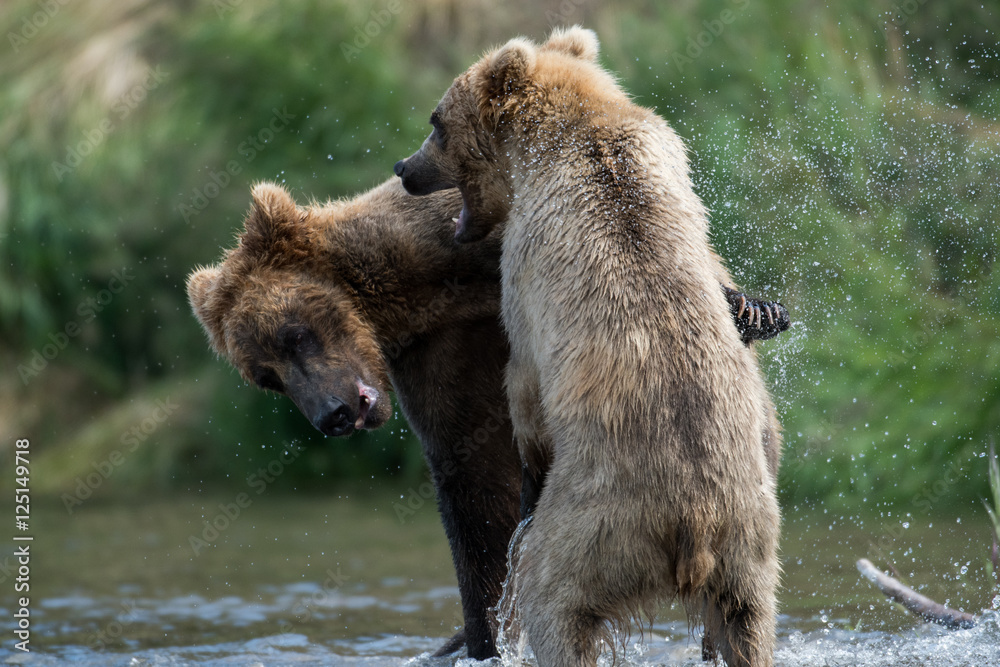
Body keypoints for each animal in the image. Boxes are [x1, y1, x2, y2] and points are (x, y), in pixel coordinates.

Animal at [187, 180, 787, 660]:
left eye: (294, 333)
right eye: (266, 376)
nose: (330, 415)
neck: (417, 289)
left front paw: (751, 307)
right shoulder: (438, 364)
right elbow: (473, 494)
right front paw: (485, 636)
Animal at [394, 26, 782, 667]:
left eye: (435, 121)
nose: (404, 167)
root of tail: (692, 525)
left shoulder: (525, 262)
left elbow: (523, 380)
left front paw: (526, 480)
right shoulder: (672, 170)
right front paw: (751, 309)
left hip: (595, 529)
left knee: (554, 603)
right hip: (749, 540)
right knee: (749, 623)